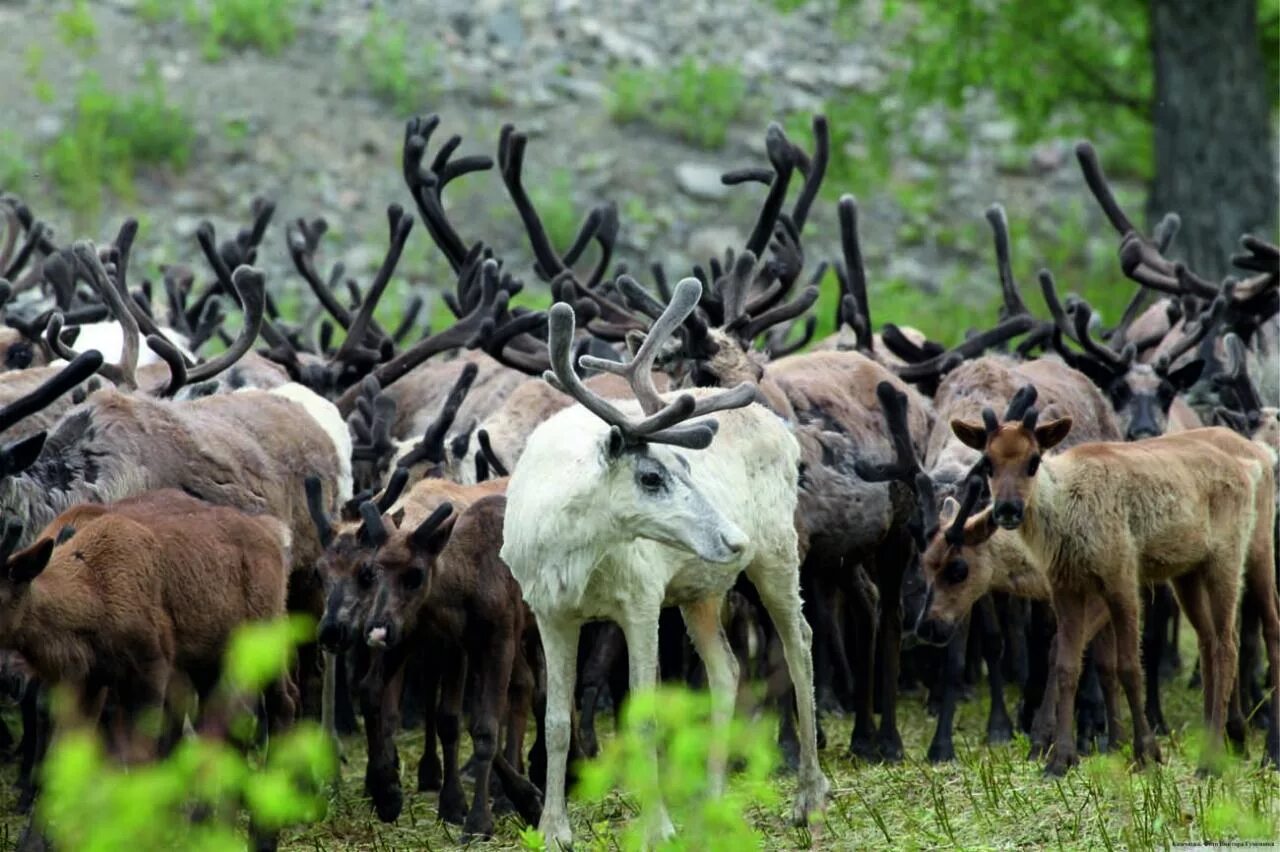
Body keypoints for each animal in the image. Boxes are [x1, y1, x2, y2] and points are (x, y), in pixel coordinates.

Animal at [947, 388, 1274, 772]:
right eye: (988, 463)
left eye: (1033, 460)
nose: (1008, 509)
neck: (1064, 515)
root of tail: (1252, 464)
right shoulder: (1066, 588)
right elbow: (1066, 665)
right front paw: (1060, 758)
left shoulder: (1122, 578)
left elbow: (1129, 666)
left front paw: (1146, 750)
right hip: (1189, 573)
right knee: (1209, 641)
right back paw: (1217, 739)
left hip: (1232, 557)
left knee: (1230, 643)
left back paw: (1216, 759)